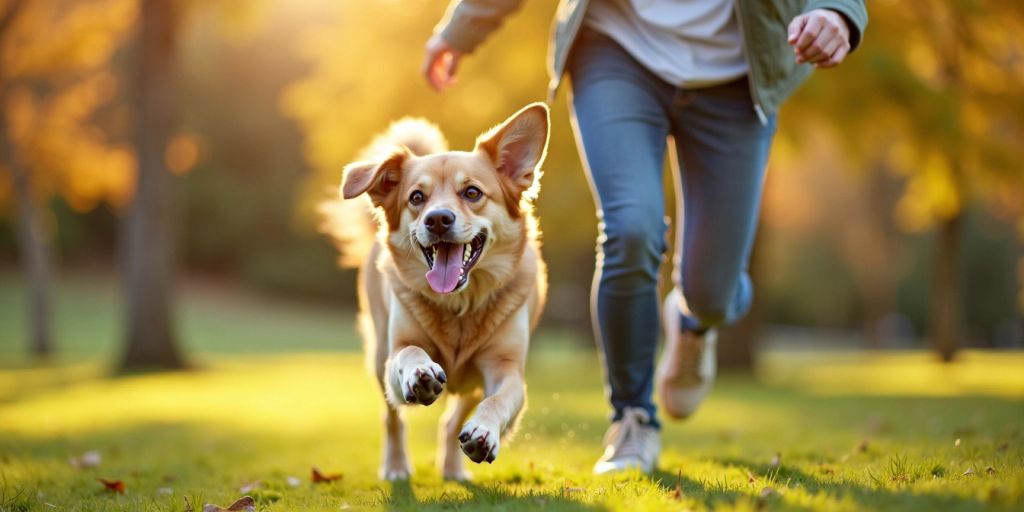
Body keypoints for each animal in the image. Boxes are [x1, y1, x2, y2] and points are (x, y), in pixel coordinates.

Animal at [323, 102, 552, 479]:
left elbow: (497, 400)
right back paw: (396, 467)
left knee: (452, 421)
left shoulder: (506, 369)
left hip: (471, 384)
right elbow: (409, 353)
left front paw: (483, 431)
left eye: (472, 192)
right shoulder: (396, 351)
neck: (459, 304)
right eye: (417, 197)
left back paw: (454, 466)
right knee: (392, 419)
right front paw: (421, 372)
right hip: (378, 357)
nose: (438, 219)